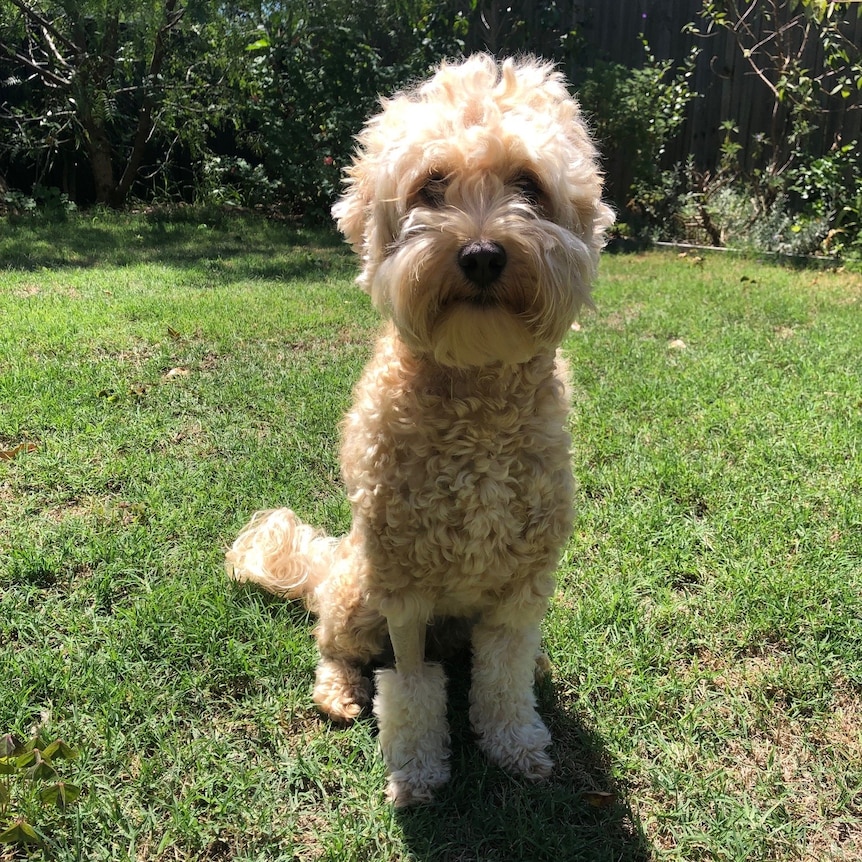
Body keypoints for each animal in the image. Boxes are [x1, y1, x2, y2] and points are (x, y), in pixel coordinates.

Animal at [226, 54, 612, 808]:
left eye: (528, 184)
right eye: (431, 186)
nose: (483, 253)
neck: (478, 401)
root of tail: (327, 562)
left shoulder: (521, 587)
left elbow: (504, 676)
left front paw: (517, 745)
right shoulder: (404, 592)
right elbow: (409, 686)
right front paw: (416, 771)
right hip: (356, 593)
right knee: (332, 644)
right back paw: (338, 692)